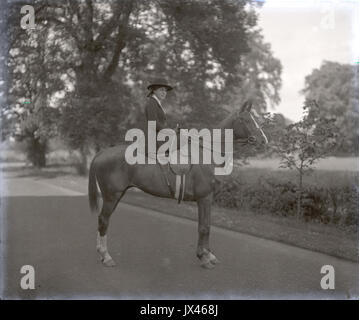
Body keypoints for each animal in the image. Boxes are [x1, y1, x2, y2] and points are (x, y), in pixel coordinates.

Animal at [88, 100, 268, 268]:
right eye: (246, 120)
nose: (263, 140)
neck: (207, 153)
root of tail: (103, 152)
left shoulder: (207, 198)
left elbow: (206, 225)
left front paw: (208, 255)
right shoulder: (204, 198)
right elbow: (204, 227)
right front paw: (204, 257)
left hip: (117, 195)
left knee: (103, 220)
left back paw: (101, 253)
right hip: (112, 196)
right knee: (104, 220)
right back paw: (106, 256)